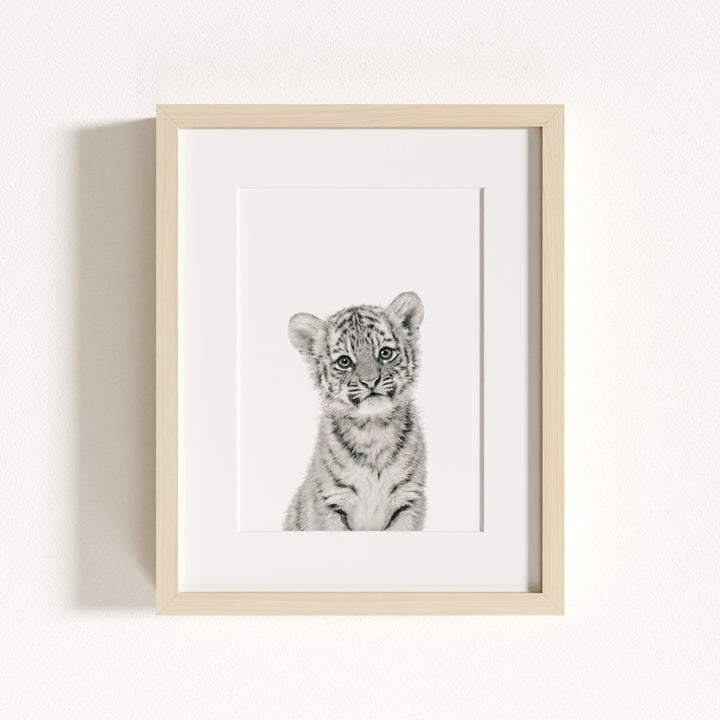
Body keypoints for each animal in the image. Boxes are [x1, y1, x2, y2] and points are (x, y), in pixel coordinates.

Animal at [283, 291, 426, 531]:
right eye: (344, 361)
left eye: (385, 353)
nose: (371, 381)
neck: (373, 430)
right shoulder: (331, 502)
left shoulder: (409, 499)